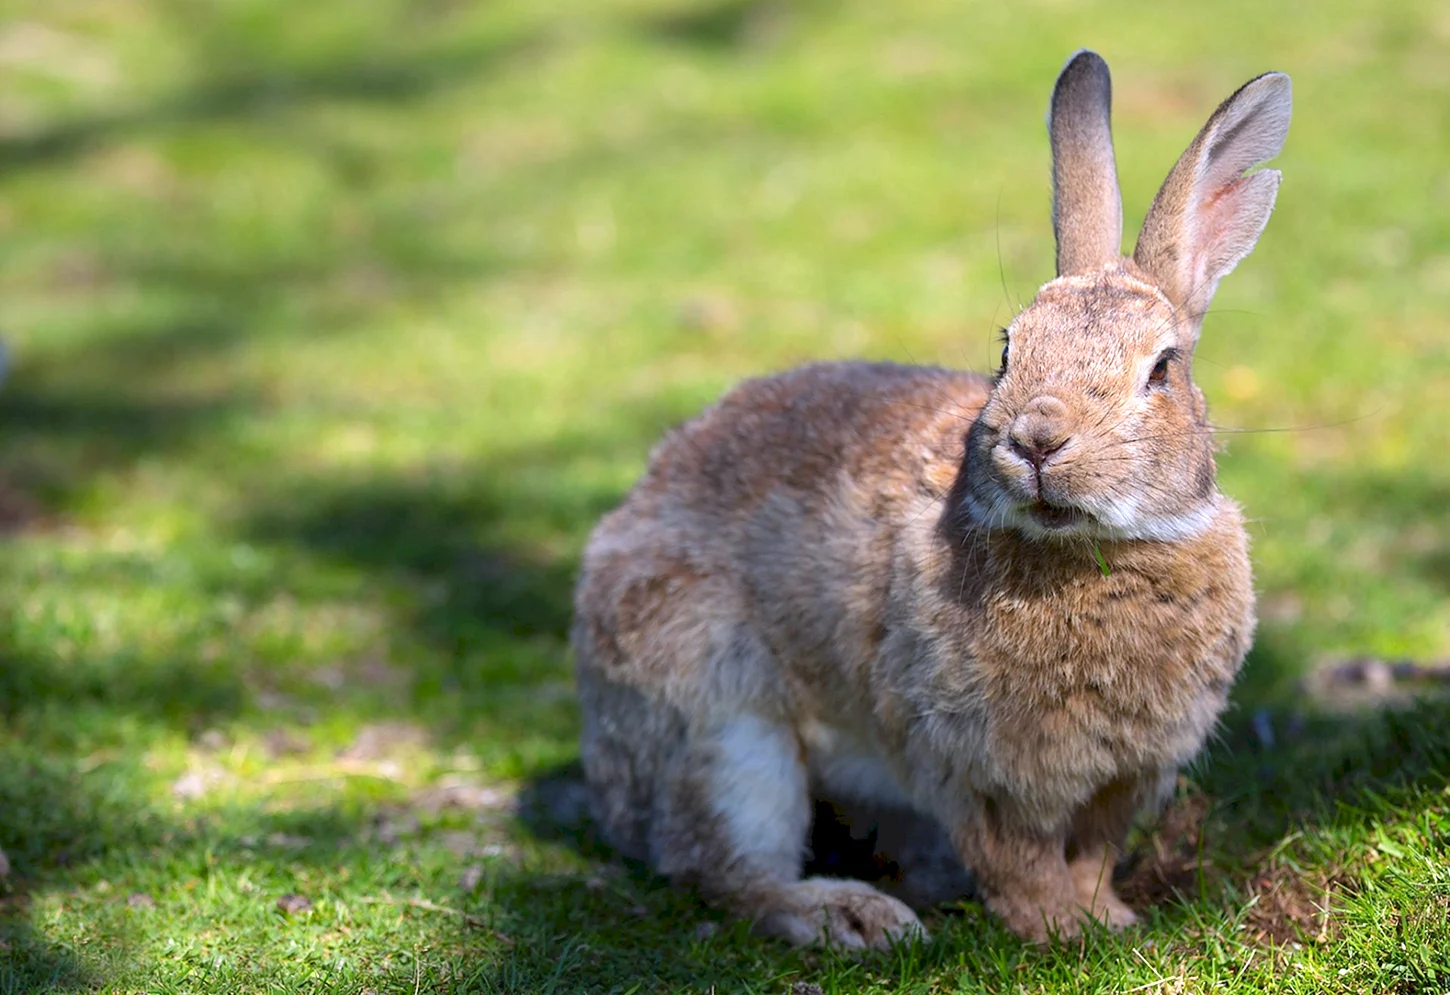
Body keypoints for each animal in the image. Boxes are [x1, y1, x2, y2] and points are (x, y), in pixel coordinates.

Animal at [572, 50, 1289, 948]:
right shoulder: (975, 767)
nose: (1037, 439)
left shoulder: (1123, 778)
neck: (1088, 554)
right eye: (1009, 349)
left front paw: (1109, 918)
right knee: (725, 866)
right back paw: (856, 917)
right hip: (723, 718)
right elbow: (1020, 858)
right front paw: (1058, 930)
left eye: (1161, 370)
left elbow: (1091, 852)